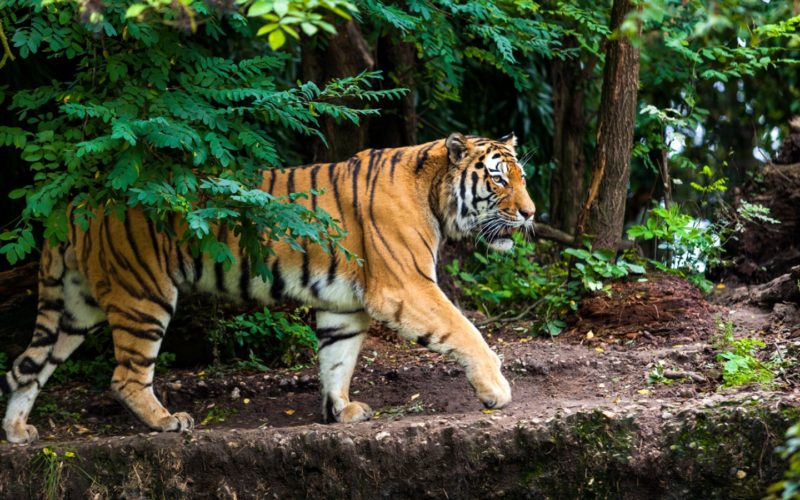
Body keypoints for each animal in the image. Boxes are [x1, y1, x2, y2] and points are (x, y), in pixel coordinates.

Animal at [1, 132, 535, 444]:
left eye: (523, 178)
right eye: (498, 179)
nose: (531, 213)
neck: (435, 194)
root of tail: (77, 202)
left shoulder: (344, 306)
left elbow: (337, 359)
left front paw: (341, 410)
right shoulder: (406, 286)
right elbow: (464, 330)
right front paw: (496, 391)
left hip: (76, 306)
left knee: (28, 366)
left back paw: (17, 431)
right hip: (143, 296)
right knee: (124, 376)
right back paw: (166, 422)